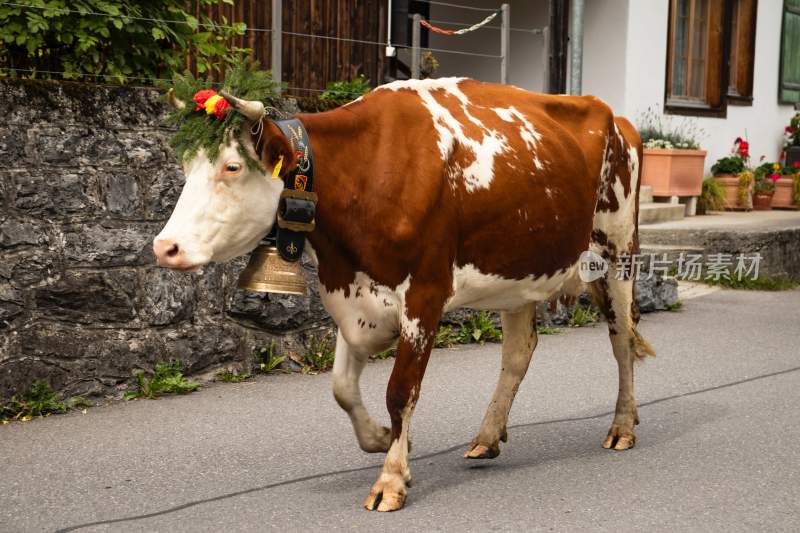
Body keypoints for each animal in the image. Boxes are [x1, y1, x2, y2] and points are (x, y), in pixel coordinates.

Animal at [153, 78, 652, 512]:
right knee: (519, 352)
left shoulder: (424, 296)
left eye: (232, 167)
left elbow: (400, 391)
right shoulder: (354, 296)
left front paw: (391, 479)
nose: (165, 247)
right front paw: (381, 438)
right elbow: (342, 388)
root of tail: (614, 115)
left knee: (622, 340)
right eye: (185, 168)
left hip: (617, 252)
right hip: (520, 269)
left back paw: (622, 427)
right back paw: (487, 437)